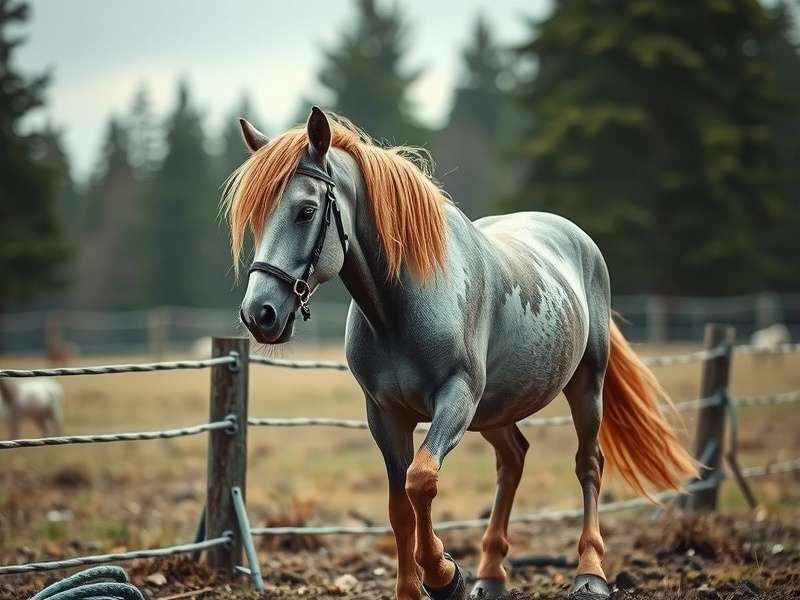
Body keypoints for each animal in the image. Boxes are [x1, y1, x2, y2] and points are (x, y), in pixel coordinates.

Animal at [226, 107, 697, 600]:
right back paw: (490, 574)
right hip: (497, 408)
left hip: (586, 386)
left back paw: (590, 573)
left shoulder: (457, 397)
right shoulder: (384, 414)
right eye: (255, 219)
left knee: (588, 464)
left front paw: (444, 575)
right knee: (512, 460)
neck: (402, 306)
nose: (259, 314)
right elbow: (399, 504)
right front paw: (415, 588)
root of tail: (579, 240)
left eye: (306, 211)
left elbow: (421, 480)